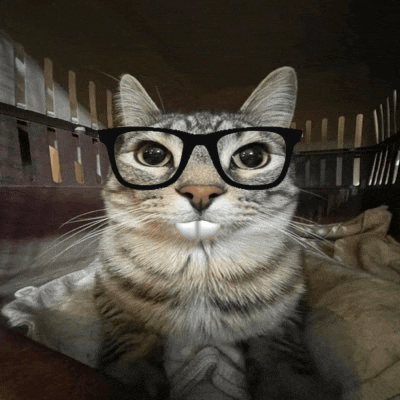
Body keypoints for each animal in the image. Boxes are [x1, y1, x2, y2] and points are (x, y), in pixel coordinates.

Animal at [93, 67, 356, 398]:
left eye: (252, 157)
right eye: (152, 154)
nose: (200, 191)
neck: (201, 269)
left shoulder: (290, 311)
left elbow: (282, 350)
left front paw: (286, 380)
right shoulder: (106, 292)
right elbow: (127, 334)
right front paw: (135, 372)